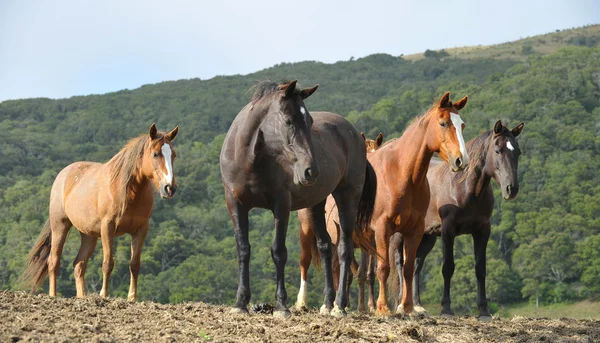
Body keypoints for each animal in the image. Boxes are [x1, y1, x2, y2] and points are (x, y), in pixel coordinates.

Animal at [23, 125, 178, 302]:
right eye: (156, 154)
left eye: (173, 154)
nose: (169, 188)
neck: (128, 192)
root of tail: (63, 174)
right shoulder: (107, 228)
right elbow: (108, 263)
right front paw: (104, 295)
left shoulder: (141, 230)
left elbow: (134, 264)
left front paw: (132, 298)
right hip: (60, 226)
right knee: (53, 261)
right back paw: (53, 296)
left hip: (88, 235)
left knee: (79, 264)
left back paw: (82, 297)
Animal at [296, 132, 384, 314]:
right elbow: (358, 272)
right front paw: (358, 306)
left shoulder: (369, 243)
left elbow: (367, 273)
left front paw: (369, 306)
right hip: (306, 230)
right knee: (305, 261)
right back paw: (302, 302)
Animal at [368, 93, 472, 318]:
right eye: (443, 123)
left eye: (462, 125)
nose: (462, 161)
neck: (401, 173)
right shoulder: (383, 228)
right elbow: (384, 267)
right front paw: (383, 308)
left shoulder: (414, 230)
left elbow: (408, 268)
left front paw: (408, 307)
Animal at [392, 119, 524, 322]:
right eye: (497, 150)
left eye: (517, 152)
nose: (512, 188)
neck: (465, 188)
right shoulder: (448, 231)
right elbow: (448, 267)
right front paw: (446, 309)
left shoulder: (482, 231)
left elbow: (480, 269)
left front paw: (484, 311)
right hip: (401, 233)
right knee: (400, 262)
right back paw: (401, 304)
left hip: (426, 237)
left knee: (415, 265)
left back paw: (417, 307)